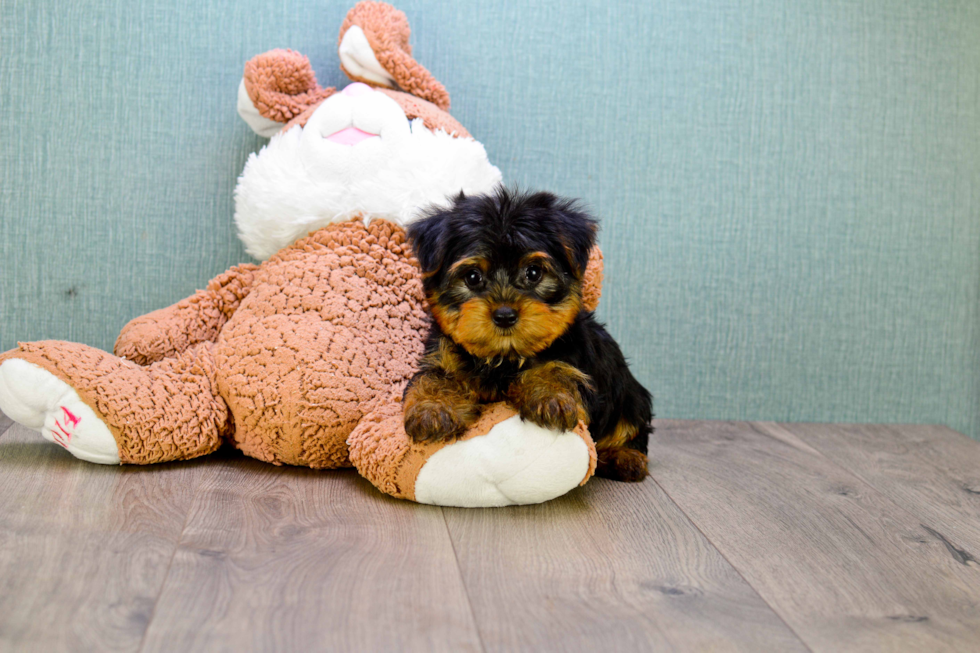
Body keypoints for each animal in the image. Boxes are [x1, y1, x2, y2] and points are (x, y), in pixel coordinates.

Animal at [402, 186, 656, 482]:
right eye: (473, 277)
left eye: (533, 273)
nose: (504, 315)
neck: (503, 357)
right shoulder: (443, 353)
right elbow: (431, 378)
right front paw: (432, 409)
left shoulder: (574, 359)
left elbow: (556, 369)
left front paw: (550, 396)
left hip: (629, 394)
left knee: (630, 426)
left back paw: (624, 457)